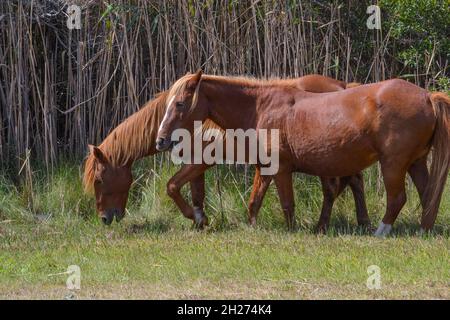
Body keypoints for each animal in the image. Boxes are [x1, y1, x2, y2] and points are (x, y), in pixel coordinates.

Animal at [84, 75, 370, 229]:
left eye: (98, 180)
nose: (104, 218)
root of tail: (343, 86)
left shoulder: (200, 162)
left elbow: (172, 186)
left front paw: (196, 218)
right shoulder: (198, 166)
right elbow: (196, 195)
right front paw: (200, 220)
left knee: (340, 186)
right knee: (352, 182)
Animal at [156, 70, 450, 235]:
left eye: (179, 103)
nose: (160, 140)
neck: (261, 106)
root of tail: (427, 96)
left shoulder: (282, 169)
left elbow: (287, 204)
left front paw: (291, 231)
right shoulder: (265, 168)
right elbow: (254, 202)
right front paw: (252, 228)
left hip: (394, 164)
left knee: (397, 198)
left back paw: (381, 230)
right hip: (416, 162)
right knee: (427, 195)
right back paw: (423, 231)